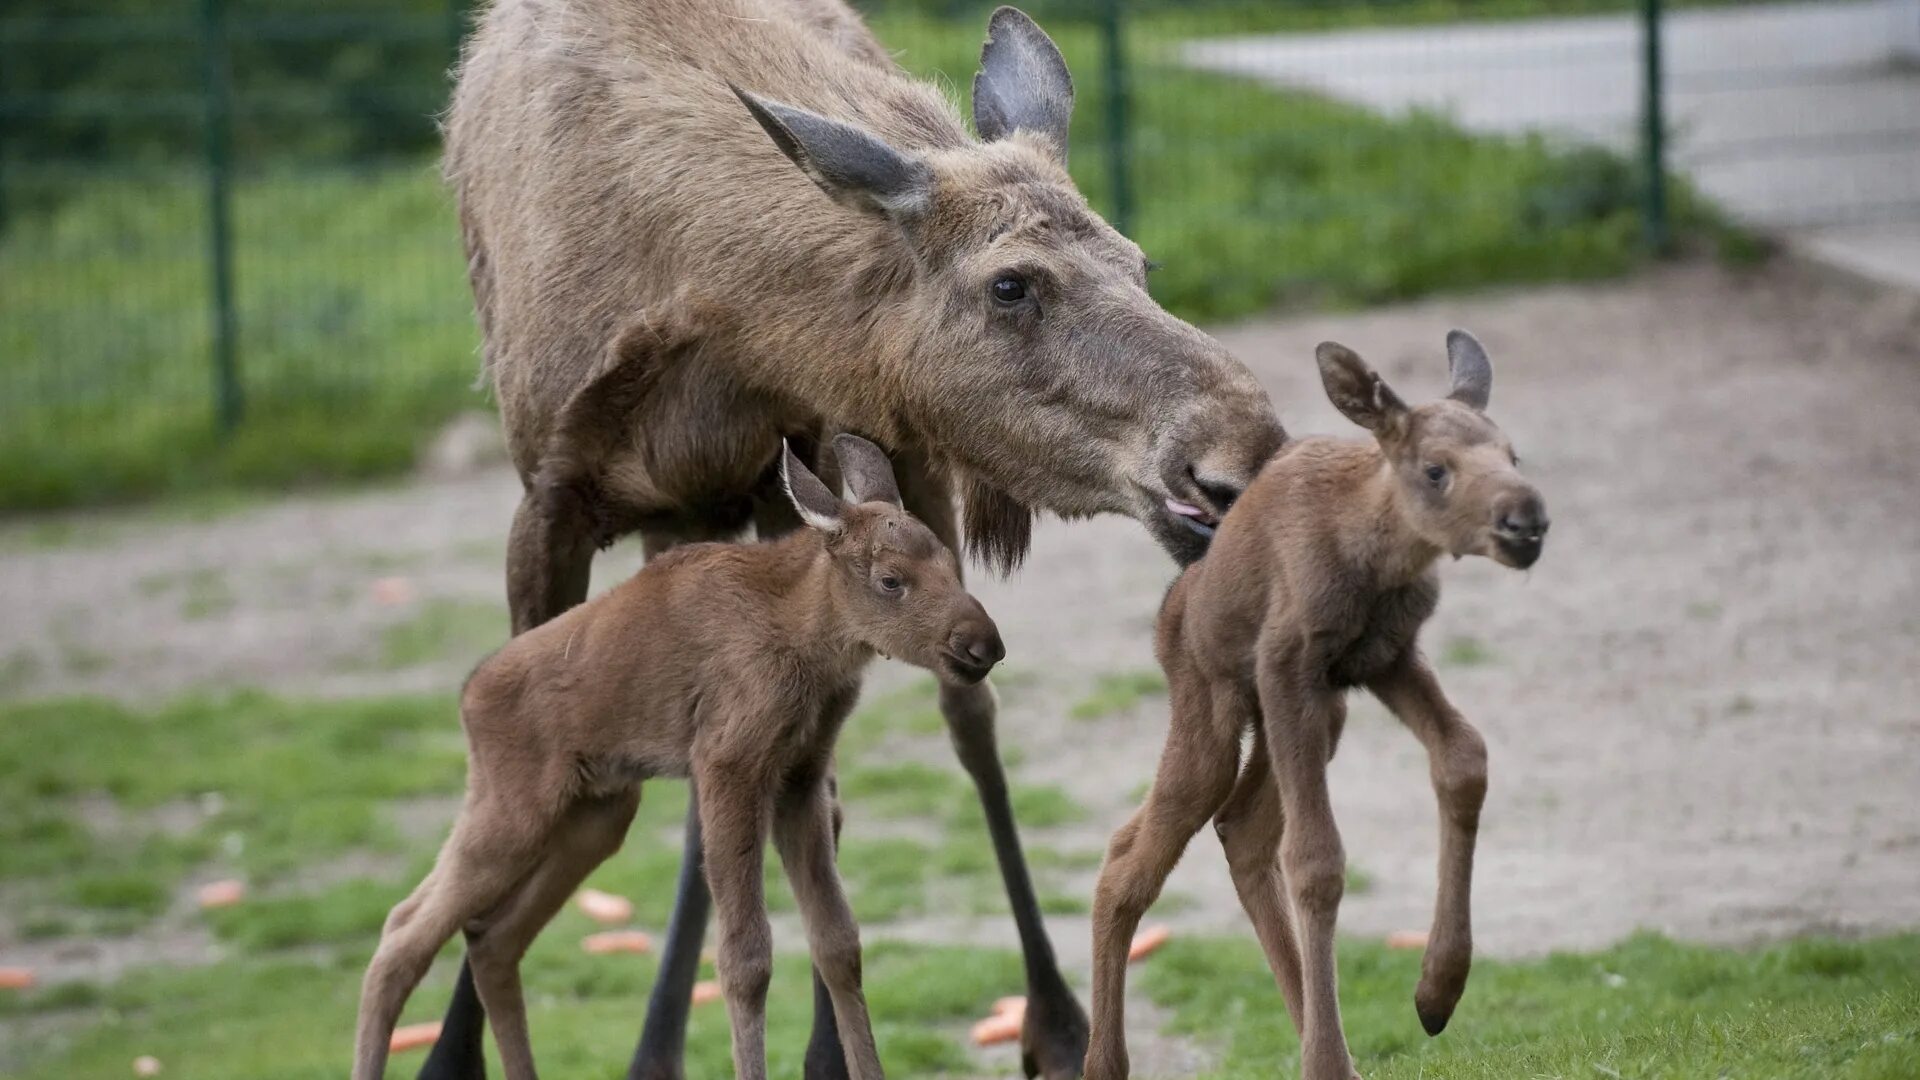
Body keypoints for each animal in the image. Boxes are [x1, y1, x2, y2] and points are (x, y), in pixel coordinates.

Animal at [353, 430, 1006, 1076]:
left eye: (949, 559)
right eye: (891, 580)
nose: (985, 645)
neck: (809, 642)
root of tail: (468, 696)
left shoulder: (800, 776)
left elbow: (838, 944)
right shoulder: (730, 764)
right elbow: (746, 960)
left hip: (595, 816)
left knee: (492, 940)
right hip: (513, 814)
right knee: (401, 935)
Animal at [428, 2, 1282, 1076]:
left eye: (1143, 264)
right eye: (1012, 285)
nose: (1241, 453)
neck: (723, 315)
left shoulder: (849, 469)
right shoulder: (550, 497)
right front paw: (450, 1052)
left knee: (955, 729)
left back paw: (1032, 1017)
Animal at [1090, 330, 1551, 1076]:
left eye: (1512, 455)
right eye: (1435, 470)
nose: (1527, 521)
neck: (1377, 558)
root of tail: (1169, 609)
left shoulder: (1385, 658)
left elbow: (1465, 757)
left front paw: (1437, 989)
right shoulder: (1290, 665)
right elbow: (1316, 861)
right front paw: (1329, 1061)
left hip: (1318, 718)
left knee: (1237, 831)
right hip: (1214, 709)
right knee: (1130, 860)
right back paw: (1103, 1061)